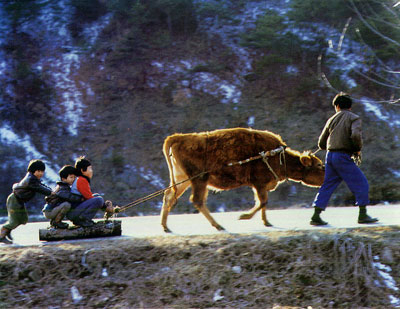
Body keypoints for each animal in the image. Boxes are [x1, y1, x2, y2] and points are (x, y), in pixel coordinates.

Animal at [159, 127, 324, 231]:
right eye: (319, 165)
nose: (326, 175)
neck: (278, 156)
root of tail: (178, 137)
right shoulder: (259, 183)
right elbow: (262, 202)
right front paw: (244, 216)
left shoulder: (262, 185)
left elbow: (264, 203)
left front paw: (266, 222)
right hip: (199, 179)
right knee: (197, 200)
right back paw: (218, 225)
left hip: (184, 179)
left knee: (169, 196)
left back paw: (165, 227)